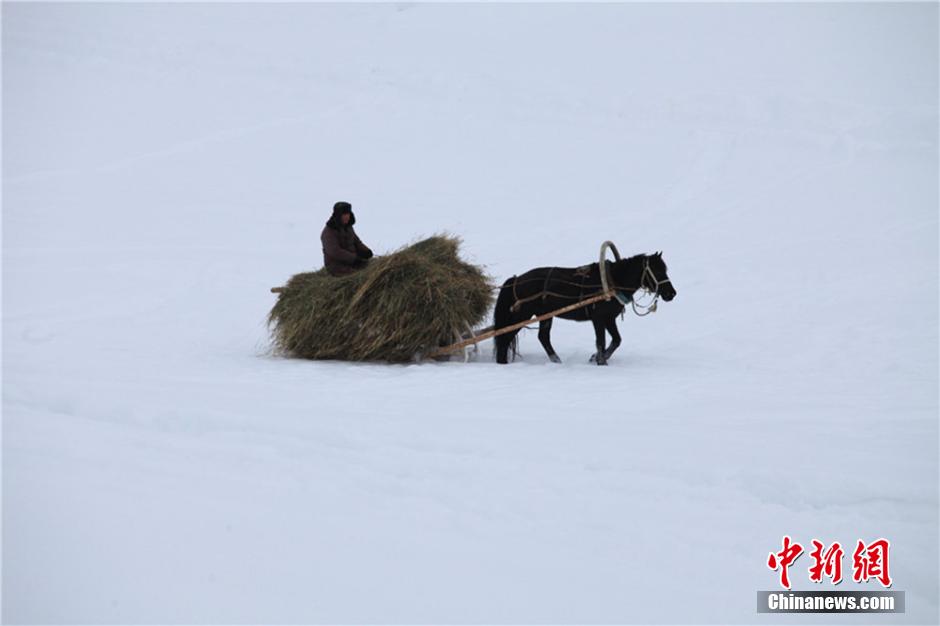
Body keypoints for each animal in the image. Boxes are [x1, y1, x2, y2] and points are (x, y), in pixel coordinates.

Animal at [492, 251, 676, 364]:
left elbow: (616, 340)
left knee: (543, 337)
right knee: (505, 337)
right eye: (658, 271)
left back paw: (556, 360)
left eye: (665, 269)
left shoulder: (609, 318)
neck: (612, 281)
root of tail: (516, 279)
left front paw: (595, 358)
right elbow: (601, 342)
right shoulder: (598, 318)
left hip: (545, 315)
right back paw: (502, 363)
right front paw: (601, 361)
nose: (671, 293)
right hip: (522, 315)